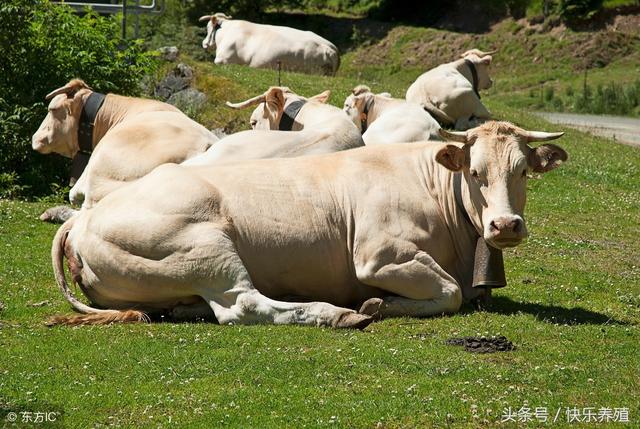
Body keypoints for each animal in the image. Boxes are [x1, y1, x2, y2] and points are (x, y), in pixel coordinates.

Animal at [48, 121, 564, 328]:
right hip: (204, 248)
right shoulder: (379, 257)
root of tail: (83, 219)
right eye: (474, 172)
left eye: (523, 170)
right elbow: (450, 294)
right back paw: (336, 314)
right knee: (245, 306)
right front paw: (377, 303)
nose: (505, 225)